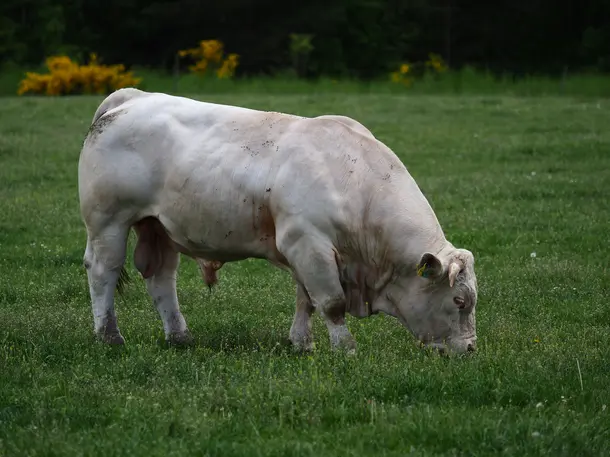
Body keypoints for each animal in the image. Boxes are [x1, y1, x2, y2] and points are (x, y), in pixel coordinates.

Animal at [78, 88, 478, 352]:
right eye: (459, 301)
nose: (471, 349)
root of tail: (130, 97)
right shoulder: (308, 243)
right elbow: (330, 302)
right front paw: (345, 347)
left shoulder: (306, 251)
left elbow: (307, 301)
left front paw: (302, 343)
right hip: (108, 222)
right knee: (103, 271)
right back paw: (110, 336)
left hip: (159, 227)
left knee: (161, 278)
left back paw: (180, 336)